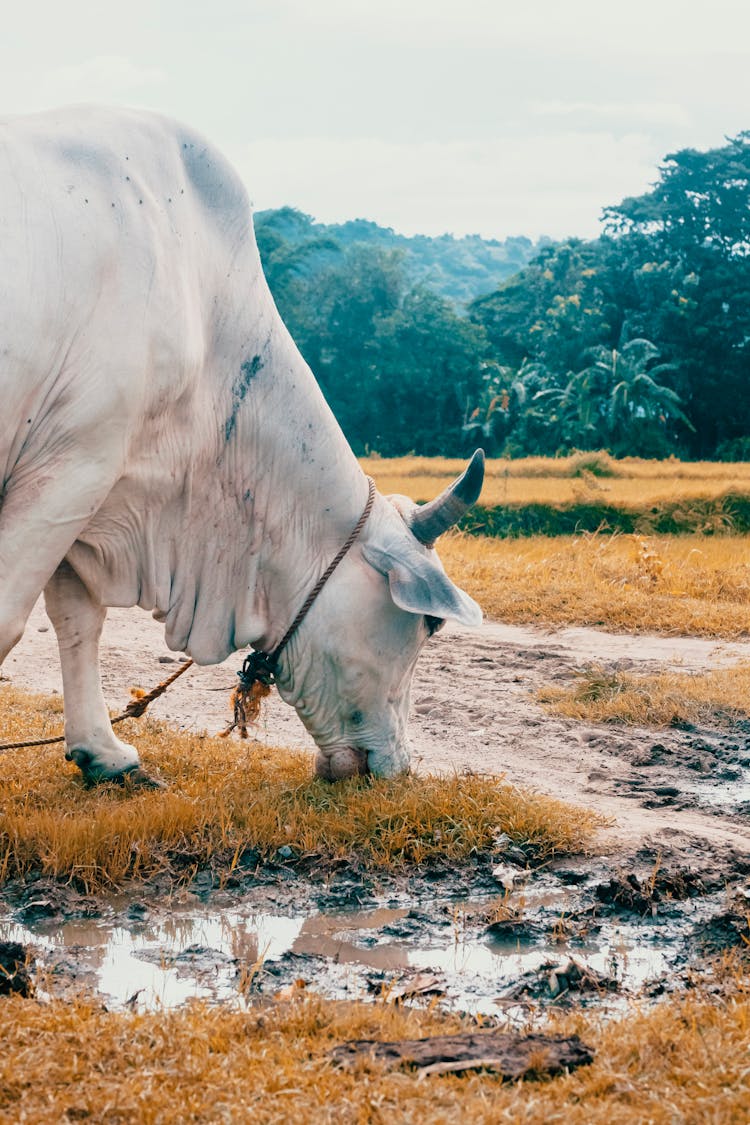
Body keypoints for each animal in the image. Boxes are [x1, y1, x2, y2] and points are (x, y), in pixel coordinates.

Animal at [0, 109, 483, 787]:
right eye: (428, 626)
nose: (398, 767)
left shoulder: (91, 487)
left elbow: (79, 622)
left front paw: (103, 752)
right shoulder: (73, 465)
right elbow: (7, 621)